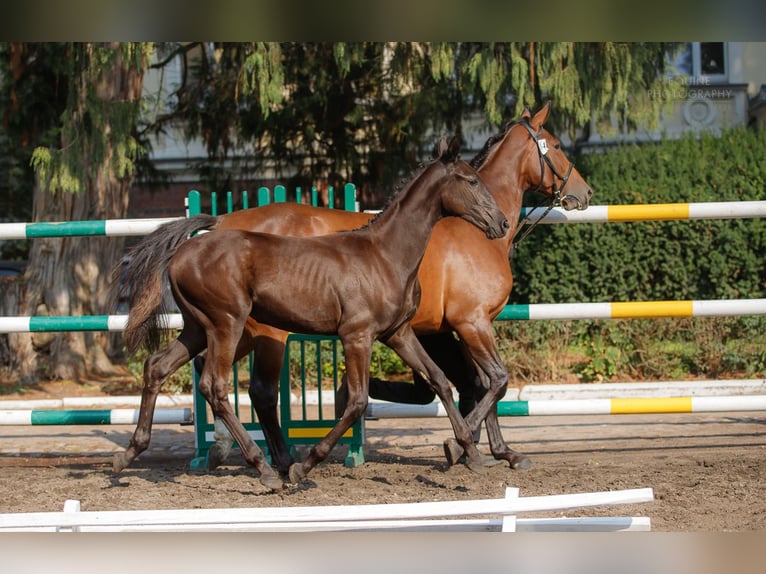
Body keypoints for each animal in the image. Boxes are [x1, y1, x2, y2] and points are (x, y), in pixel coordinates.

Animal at [114, 136, 510, 490]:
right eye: (472, 180)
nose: (502, 223)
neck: (385, 255)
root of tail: (184, 249)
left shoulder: (398, 333)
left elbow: (438, 380)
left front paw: (469, 453)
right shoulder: (357, 336)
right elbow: (357, 401)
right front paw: (303, 467)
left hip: (198, 327)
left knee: (157, 367)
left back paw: (130, 454)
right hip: (226, 324)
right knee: (217, 385)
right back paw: (267, 469)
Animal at [190, 101, 592, 474]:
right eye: (557, 145)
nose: (584, 192)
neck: (471, 230)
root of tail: (223, 222)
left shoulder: (446, 330)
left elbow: (472, 384)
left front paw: (497, 450)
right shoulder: (471, 322)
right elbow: (495, 381)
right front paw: (462, 447)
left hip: (243, 328)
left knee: (207, 369)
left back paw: (235, 450)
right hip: (266, 331)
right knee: (256, 389)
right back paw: (270, 458)